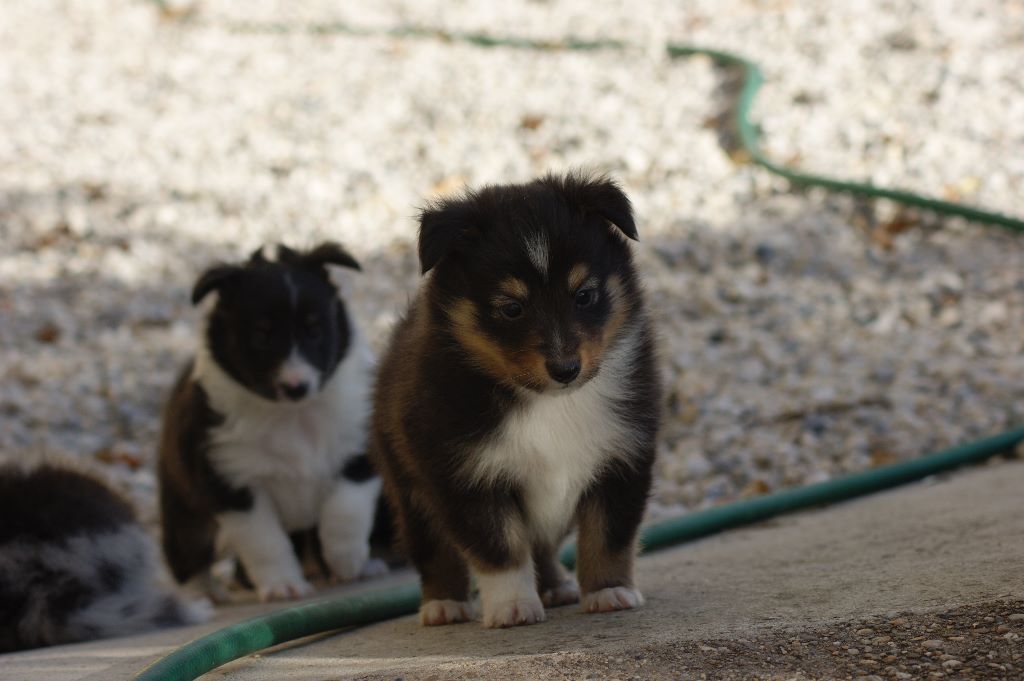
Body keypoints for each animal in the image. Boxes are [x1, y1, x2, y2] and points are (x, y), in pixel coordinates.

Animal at [157, 242, 385, 602]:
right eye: (261, 336)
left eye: (314, 329)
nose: (296, 386)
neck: (292, 414)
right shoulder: (233, 483)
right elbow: (265, 541)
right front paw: (282, 585)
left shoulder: (359, 444)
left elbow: (346, 506)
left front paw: (348, 559)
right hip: (185, 514)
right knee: (188, 560)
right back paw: (203, 596)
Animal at [372, 171, 659, 626]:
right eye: (511, 308)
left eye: (584, 295)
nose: (565, 369)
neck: (548, 401)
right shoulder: (465, 476)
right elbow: (500, 548)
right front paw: (513, 607)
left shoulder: (623, 457)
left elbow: (608, 536)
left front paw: (610, 591)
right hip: (406, 484)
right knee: (433, 550)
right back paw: (443, 605)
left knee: (542, 546)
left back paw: (556, 587)